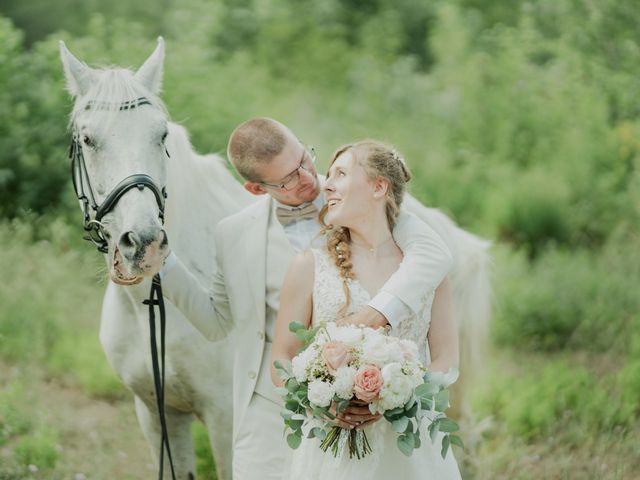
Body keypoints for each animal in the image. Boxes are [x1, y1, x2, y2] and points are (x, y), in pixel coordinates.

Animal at [58, 38, 490, 480]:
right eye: (88, 140)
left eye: (160, 134)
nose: (143, 242)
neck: (149, 307)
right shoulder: (155, 413)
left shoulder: (223, 419)